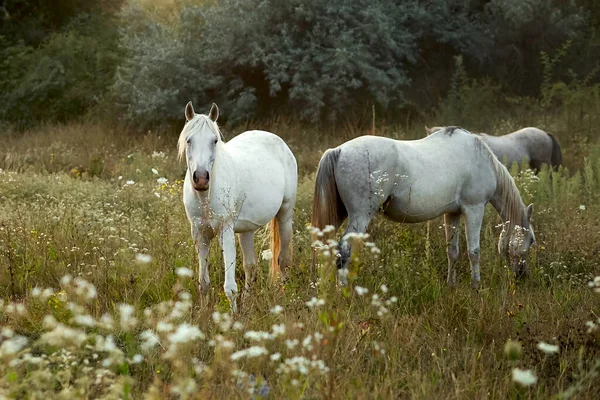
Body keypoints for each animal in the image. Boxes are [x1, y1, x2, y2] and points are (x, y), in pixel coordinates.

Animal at [180, 101, 298, 310]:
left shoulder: (225, 230)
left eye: (214, 141)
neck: (205, 196)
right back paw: (248, 303)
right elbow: (203, 283)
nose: (201, 178)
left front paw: (233, 318)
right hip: (246, 231)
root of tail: (281, 144)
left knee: (283, 260)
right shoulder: (199, 233)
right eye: (188, 140)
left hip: (285, 215)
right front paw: (204, 314)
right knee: (251, 266)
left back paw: (283, 298)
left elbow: (230, 287)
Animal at [314, 126, 536, 290]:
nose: (521, 275)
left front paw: (451, 285)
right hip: (360, 216)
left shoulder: (452, 213)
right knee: (343, 251)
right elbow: (474, 251)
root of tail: (338, 150)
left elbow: (453, 251)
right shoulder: (474, 209)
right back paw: (343, 291)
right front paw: (476, 286)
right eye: (532, 240)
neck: (480, 158)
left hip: (339, 216)